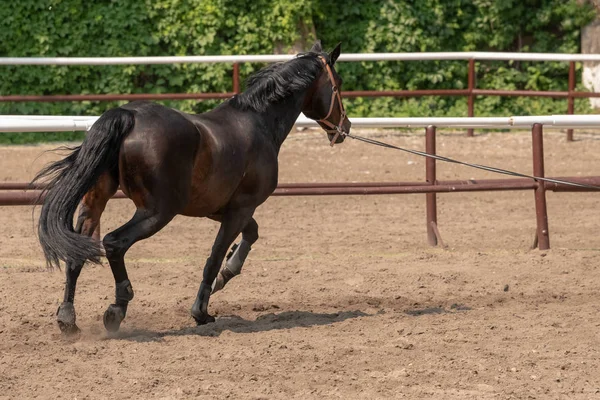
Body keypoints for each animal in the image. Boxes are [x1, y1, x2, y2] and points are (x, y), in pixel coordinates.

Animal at [34, 41, 352, 334]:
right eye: (338, 84)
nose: (345, 127)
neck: (258, 122)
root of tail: (128, 117)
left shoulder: (222, 209)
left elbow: (250, 234)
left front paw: (226, 274)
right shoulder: (241, 207)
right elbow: (214, 256)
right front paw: (202, 311)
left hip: (96, 203)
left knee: (77, 251)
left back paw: (67, 319)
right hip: (156, 212)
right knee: (113, 242)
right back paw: (116, 309)